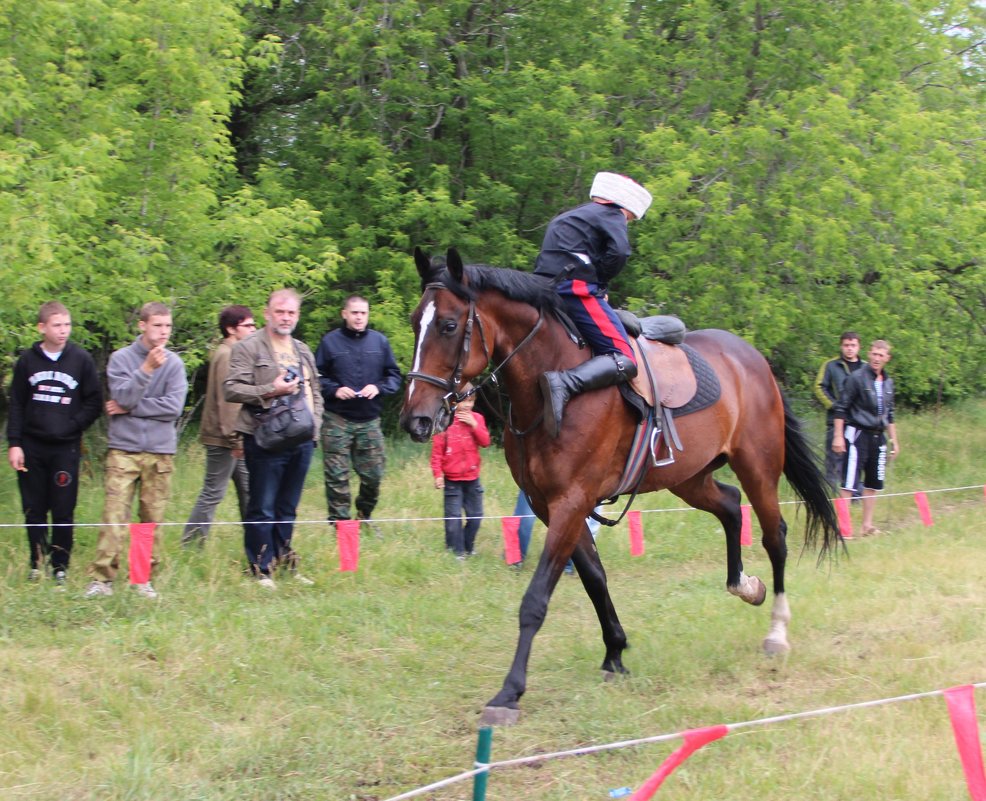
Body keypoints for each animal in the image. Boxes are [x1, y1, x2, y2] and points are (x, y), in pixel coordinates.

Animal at [400, 247, 836, 720]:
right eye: (415, 321)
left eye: (448, 325)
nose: (416, 419)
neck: (553, 383)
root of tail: (753, 360)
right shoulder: (549, 506)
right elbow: (595, 578)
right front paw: (615, 652)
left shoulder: (571, 503)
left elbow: (536, 599)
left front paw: (510, 692)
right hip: (689, 478)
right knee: (730, 505)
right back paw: (743, 584)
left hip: (757, 467)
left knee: (775, 536)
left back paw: (776, 631)